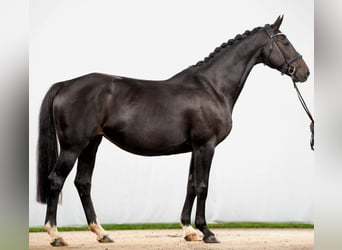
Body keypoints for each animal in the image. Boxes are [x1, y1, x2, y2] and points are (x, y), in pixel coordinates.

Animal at [37, 16, 310, 246]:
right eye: (285, 41)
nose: (304, 72)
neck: (212, 87)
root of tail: (66, 84)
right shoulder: (206, 146)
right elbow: (203, 186)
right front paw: (207, 232)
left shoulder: (195, 149)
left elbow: (190, 185)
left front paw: (189, 231)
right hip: (73, 146)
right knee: (56, 180)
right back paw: (56, 235)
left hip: (92, 144)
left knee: (83, 183)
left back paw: (101, 233)